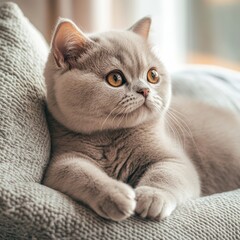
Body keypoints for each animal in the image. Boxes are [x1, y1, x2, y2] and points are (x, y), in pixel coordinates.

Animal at [43, 17, 240, 221]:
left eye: (152, 75)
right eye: (115, 78)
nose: (145, 90)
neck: (112, 138)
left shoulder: (175, 160)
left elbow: (165, 175)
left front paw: (152, 197)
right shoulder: (62, 161)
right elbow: (80, 174)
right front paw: (115, 195)